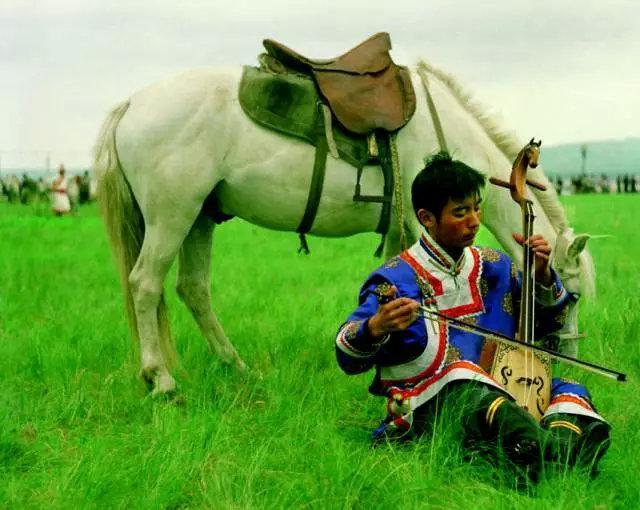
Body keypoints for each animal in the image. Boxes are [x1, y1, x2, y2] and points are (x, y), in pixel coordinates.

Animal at [95, 58, 596, 394]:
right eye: (570, 298)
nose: (568, 363)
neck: (447, 136)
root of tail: (131, 103)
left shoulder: (401, 230)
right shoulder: (416, 223)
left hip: (199, 217)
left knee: (193, 289)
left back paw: (235, 365)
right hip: (172, 215)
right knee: (145, 285)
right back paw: (160, 378)